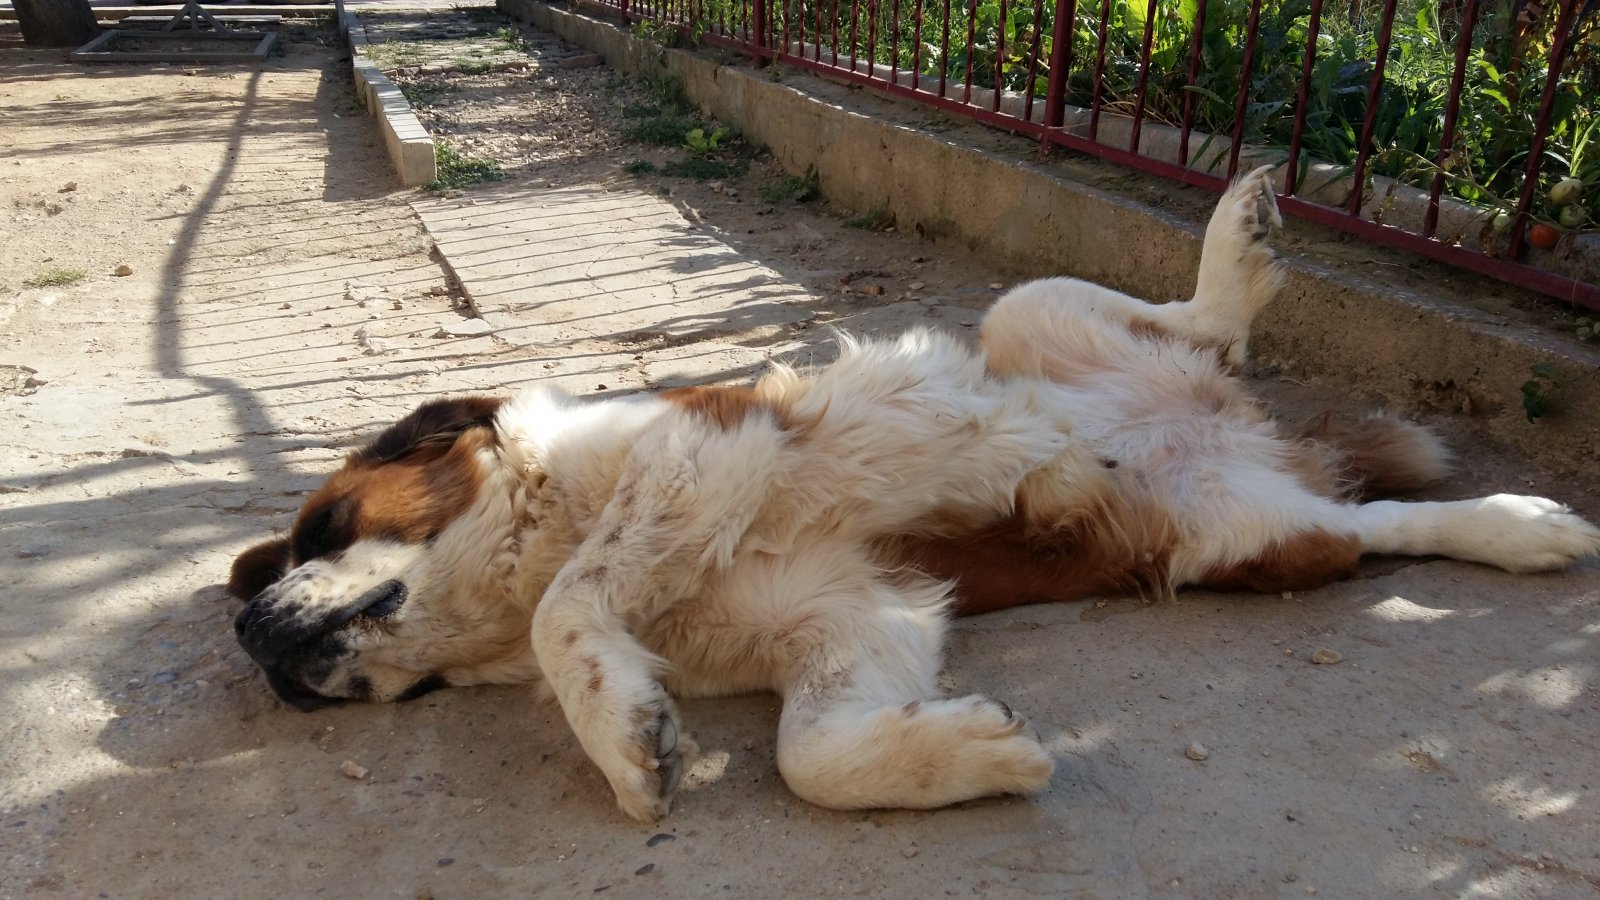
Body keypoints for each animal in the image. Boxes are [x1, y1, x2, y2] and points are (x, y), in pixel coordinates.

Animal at [228, 169, 1600, 821]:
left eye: (324, 527)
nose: (245, 631)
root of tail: (1241, 437)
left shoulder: (706, 446)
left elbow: (576, 599)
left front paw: (619, 734)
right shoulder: (849, 616)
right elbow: (811, 753)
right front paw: (971, 753)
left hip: (1032, 310)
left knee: (1201, 321)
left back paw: (1232, 245)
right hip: (1246, 537)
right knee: (1380, 526)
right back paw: (1522, 531)